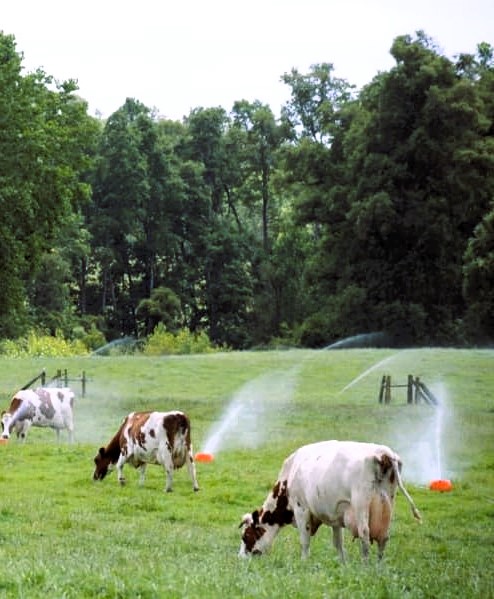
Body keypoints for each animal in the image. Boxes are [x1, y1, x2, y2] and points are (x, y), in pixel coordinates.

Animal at [238, 440, 420, 564]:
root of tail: (383, 453)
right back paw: (378, 566)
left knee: (365, 534)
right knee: (384, 537)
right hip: (388, 502)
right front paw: (342, 563)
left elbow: (304, 540)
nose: (240, 558)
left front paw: (304, 562)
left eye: (246, 536)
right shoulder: (336, 516)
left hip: (361, 503)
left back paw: (366, 565)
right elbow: (338, 543)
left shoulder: (301, 508)